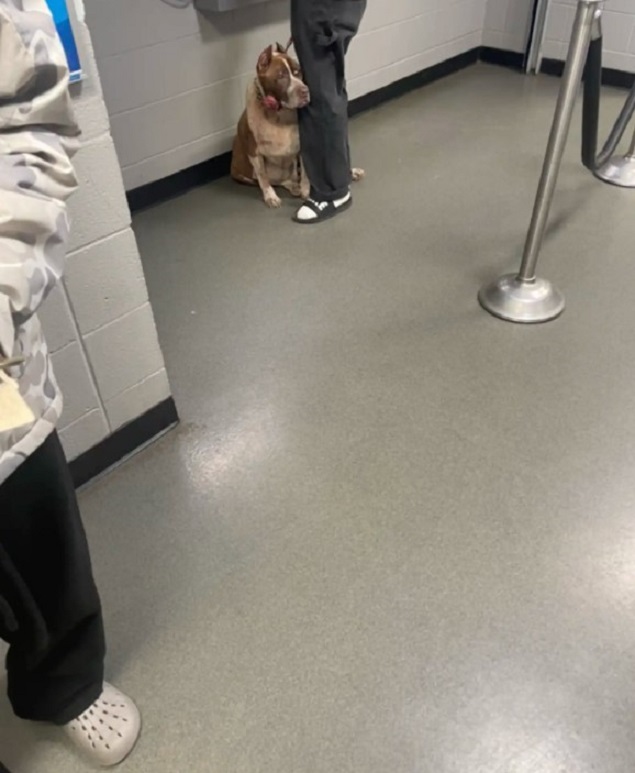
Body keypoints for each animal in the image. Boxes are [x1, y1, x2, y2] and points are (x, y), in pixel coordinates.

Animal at [234, 40, 314, 207]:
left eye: (297, 71)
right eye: (281, 75)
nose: (305, 91)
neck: (279, 113)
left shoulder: (303, 144)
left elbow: (305, 171)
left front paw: (306, 189)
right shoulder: (254, 151)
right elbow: (263, 177)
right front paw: (270, 196)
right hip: (244, 175)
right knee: (279, 181)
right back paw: (293, 187)